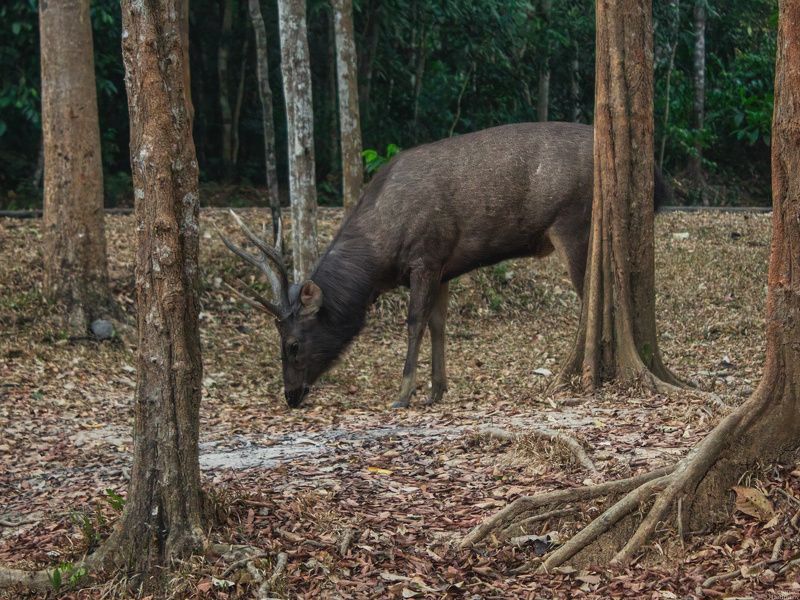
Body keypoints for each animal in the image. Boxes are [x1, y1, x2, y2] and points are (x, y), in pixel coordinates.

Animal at [220, 122, 668, 409]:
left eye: (292, 343)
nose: (291, 396)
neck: (379, 257)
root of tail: (657, 178)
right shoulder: (444, 267)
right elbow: (438, 322)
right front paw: (437, 389)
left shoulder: (425, 254)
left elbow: (415, 321)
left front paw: (403, 394)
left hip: (573, 220)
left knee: (589, 291)